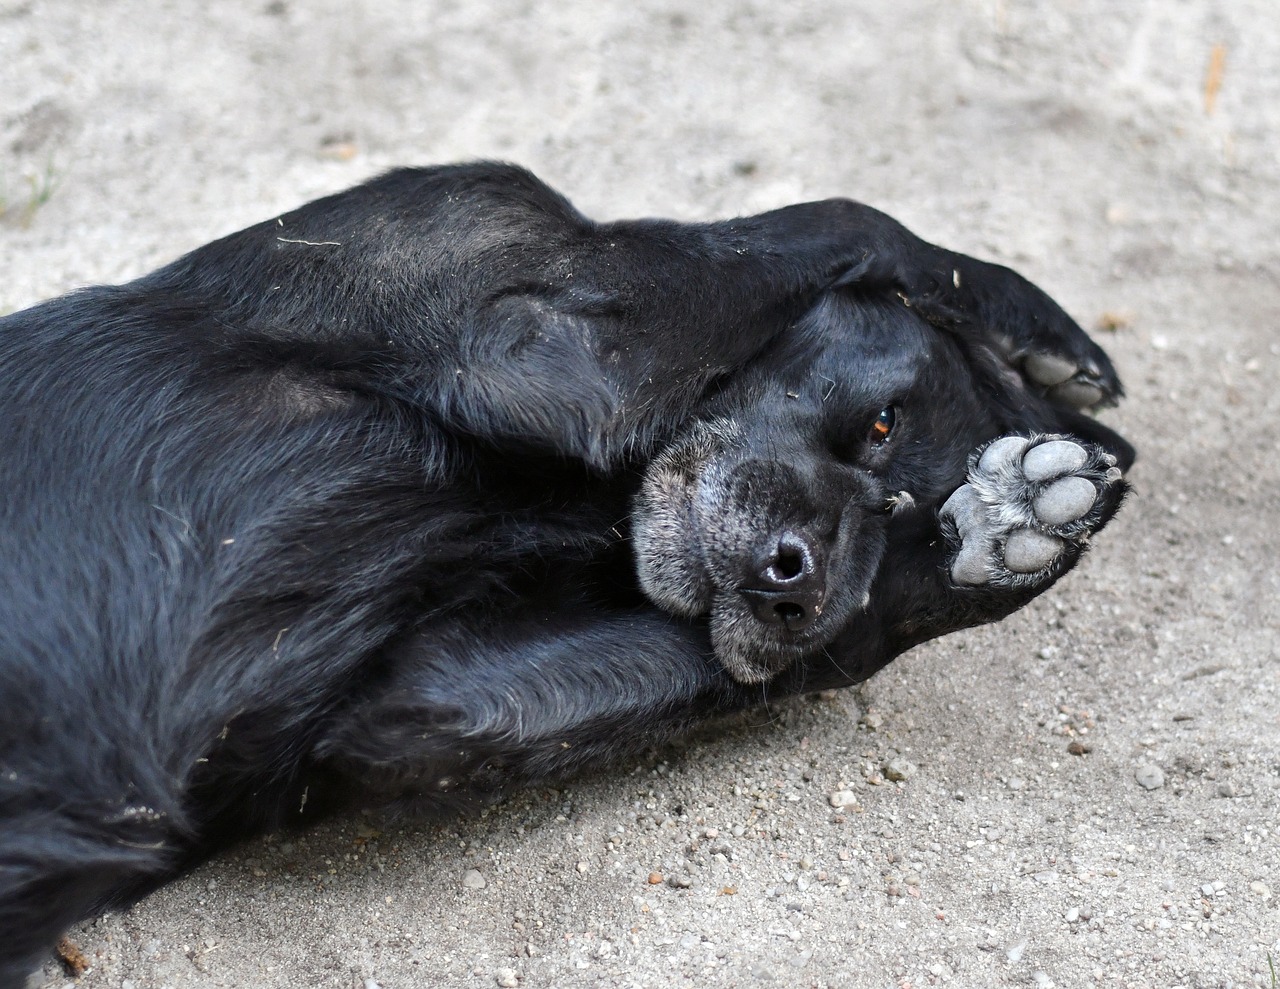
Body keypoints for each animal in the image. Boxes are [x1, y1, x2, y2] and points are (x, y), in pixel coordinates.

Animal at [0, 161, 1131, 977]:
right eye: (882, 422)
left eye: (902, 523)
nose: (794, 587)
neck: (587, 503)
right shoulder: (535, 325)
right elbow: (841, 212)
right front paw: (1019, 312)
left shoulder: (410, 710)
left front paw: (1003, 536)